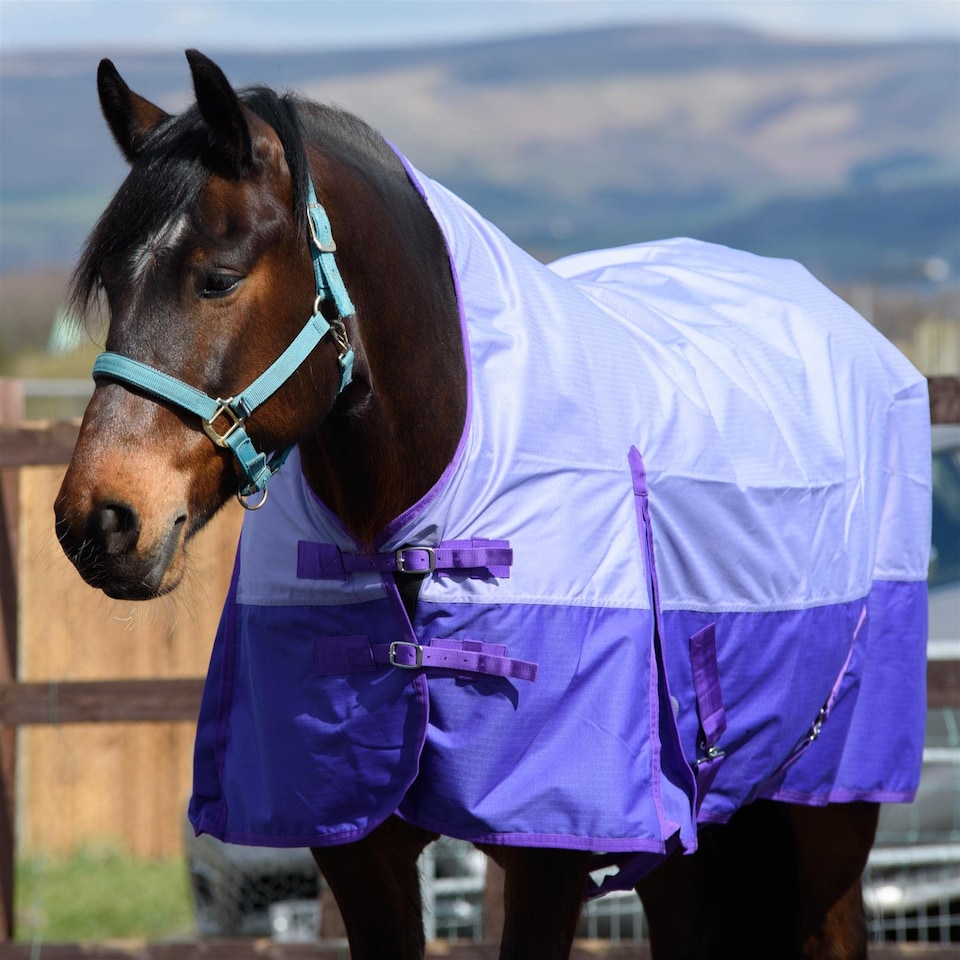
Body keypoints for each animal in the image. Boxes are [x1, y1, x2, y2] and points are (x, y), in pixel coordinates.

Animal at [55, 51, 931, 960]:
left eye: (217, 280)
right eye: (111, 285)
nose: (101, 520)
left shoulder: (550, 853)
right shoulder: (360, 853)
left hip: (829, 806)